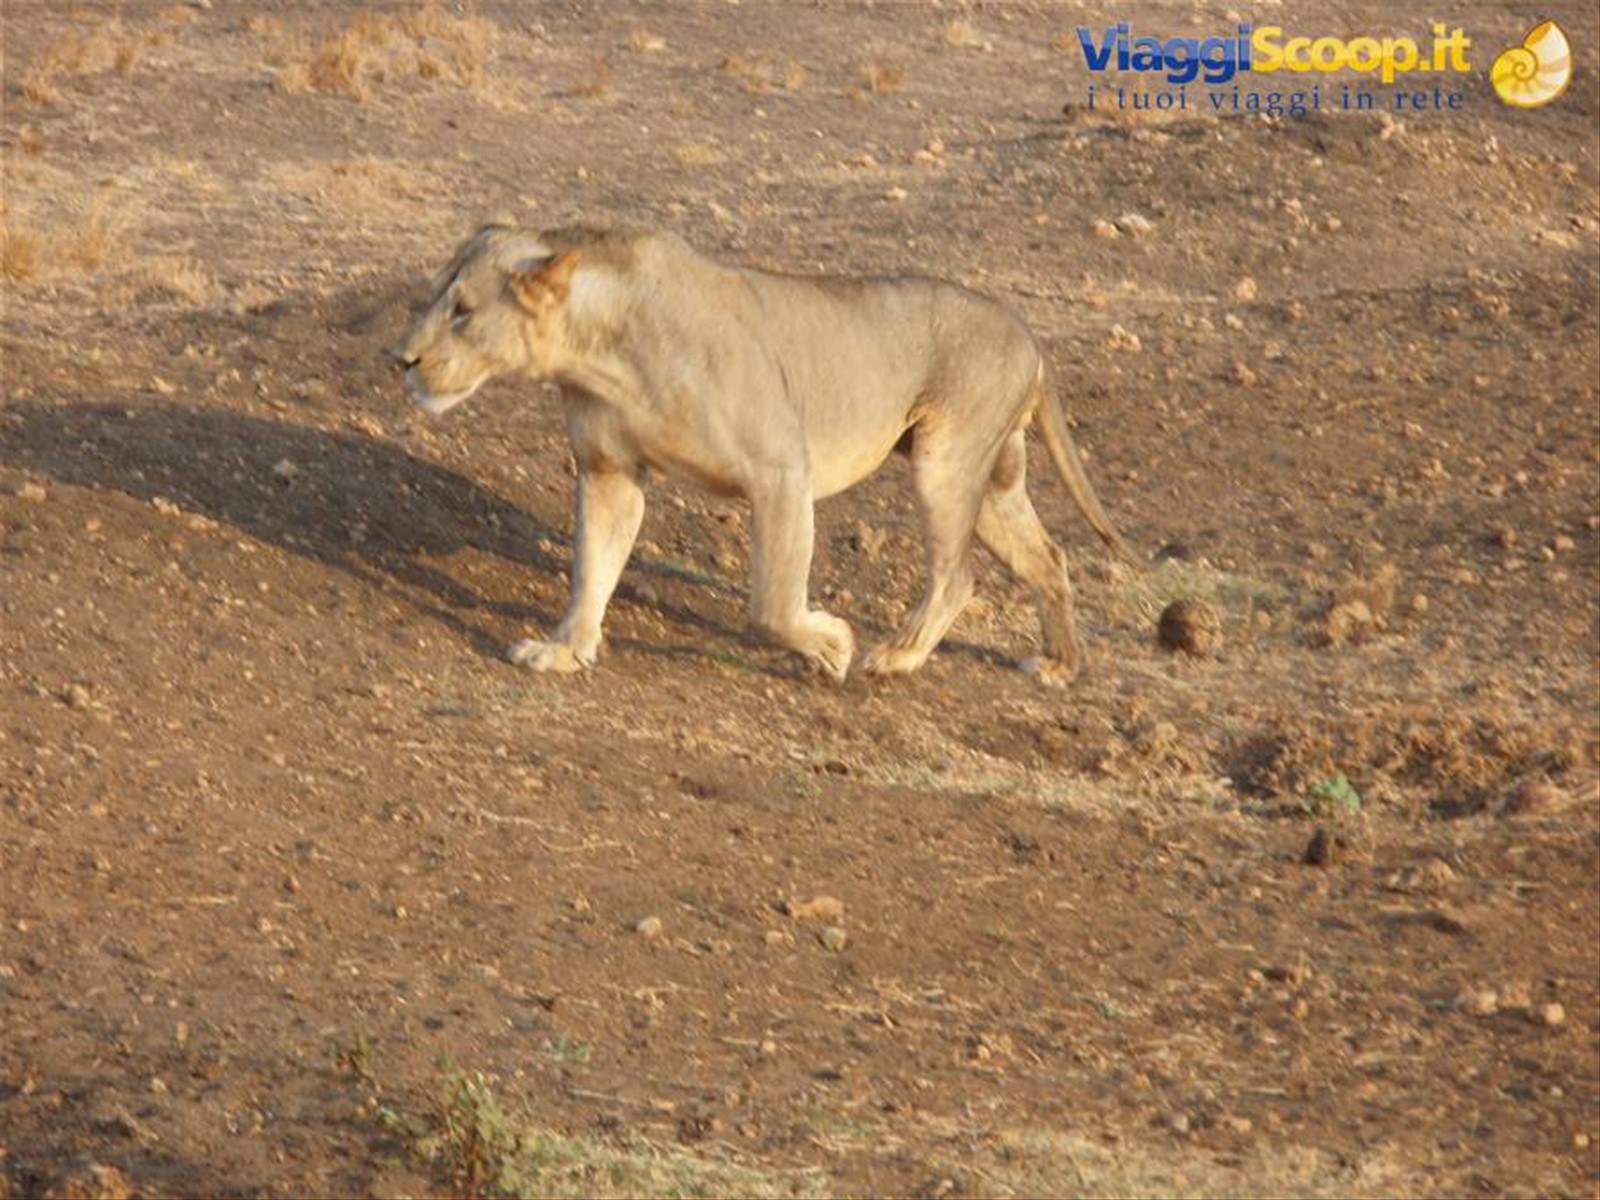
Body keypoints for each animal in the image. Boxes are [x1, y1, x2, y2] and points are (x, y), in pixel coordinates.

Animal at [395, 224, 1132, 683]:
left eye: (463, 310)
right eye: (437, 299)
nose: (403, 359)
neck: (601, 350)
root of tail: (1029, 334)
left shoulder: (781, 470)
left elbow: (771, 606)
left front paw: (832, 646)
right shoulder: (610, 471)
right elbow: (592, 568)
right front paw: (563, 651)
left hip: (945, 462)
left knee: (958, 577)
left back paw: (893, 660)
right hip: (994, 479)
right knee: (1048, 557)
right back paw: (1060, 665)